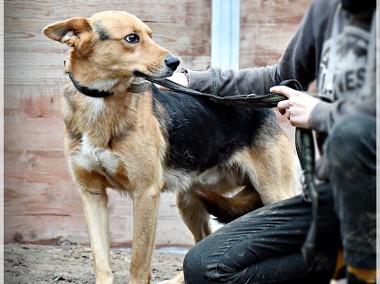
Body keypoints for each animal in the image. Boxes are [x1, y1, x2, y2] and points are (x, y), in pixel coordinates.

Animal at [41, 10, 296, 284]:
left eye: (150, 35)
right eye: (132, 38)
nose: (175, 62)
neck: (100, 99)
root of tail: (257, 105)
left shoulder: (145, 193)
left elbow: (138, 263)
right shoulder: (92, 194)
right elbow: (101, 262)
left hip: (275, 193)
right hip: (190, 196)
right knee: (200, 245)